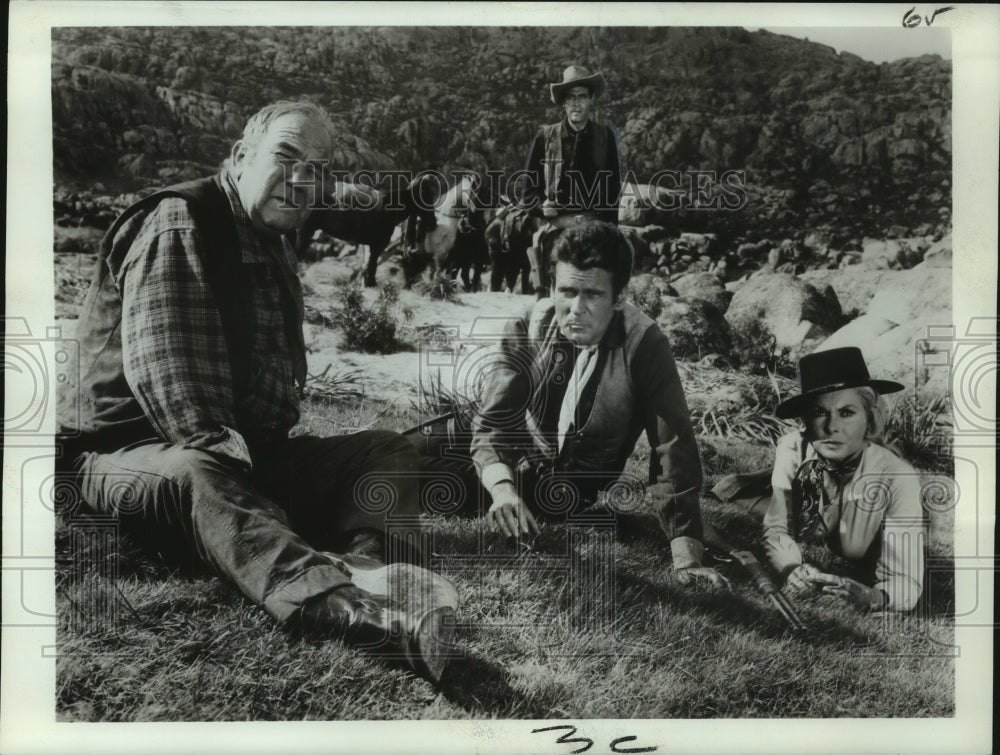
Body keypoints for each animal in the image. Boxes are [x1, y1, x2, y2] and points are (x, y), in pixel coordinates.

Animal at [294, 176, 440, 288]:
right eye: (426, 197)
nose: (433, 223)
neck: (388, 210)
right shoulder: (377, 247)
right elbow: (372, 268)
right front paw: (371, 284)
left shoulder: (370, 247)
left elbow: (367, 267)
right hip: (305, 231)